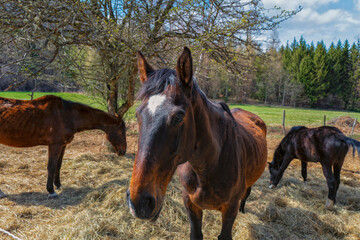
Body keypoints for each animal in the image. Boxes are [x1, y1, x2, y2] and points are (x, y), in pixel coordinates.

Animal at [126, 47, 268, 240]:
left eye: (179, 117)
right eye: (137, 114)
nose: (139, 203)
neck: (210, 165)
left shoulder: (229, 210)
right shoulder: (190, 204)